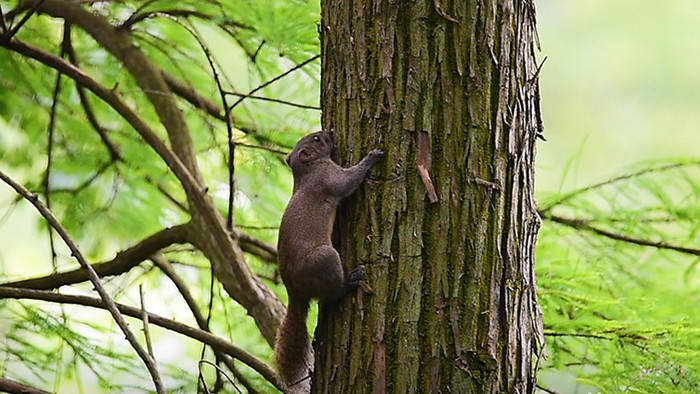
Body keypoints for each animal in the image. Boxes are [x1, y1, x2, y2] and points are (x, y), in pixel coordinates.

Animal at [274, 132, 382, 390]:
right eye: (316, 139)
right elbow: (347, 182)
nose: (330, 132)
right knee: (331, 296)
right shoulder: (328, 178)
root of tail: (294, 291)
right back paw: (348, 283)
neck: (307, 171)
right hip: (326, 259)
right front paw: (371, 158)